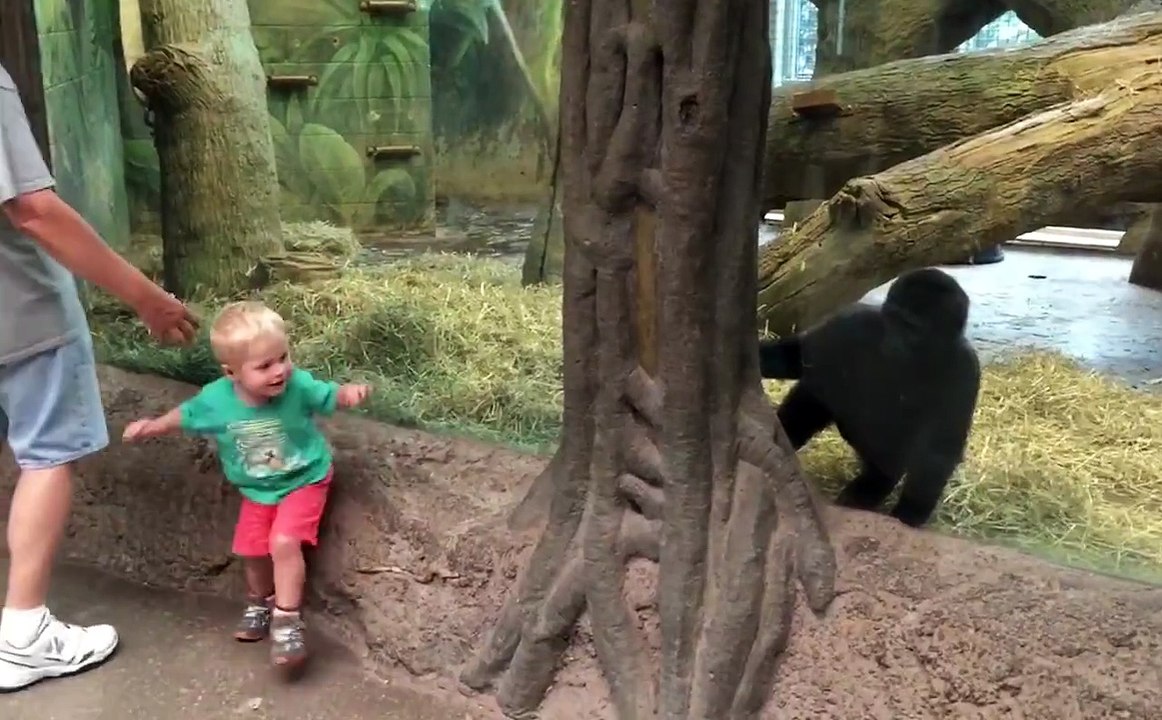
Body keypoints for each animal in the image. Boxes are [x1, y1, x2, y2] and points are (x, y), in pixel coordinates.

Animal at [759, 267, 981, 528]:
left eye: (910, 327)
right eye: (892, 320)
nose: (893, 342)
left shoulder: (965, 367)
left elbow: (940, 448)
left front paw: (911, 510)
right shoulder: (854, 322)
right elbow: (798, 355)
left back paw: (873, 485)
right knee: (817, 390)